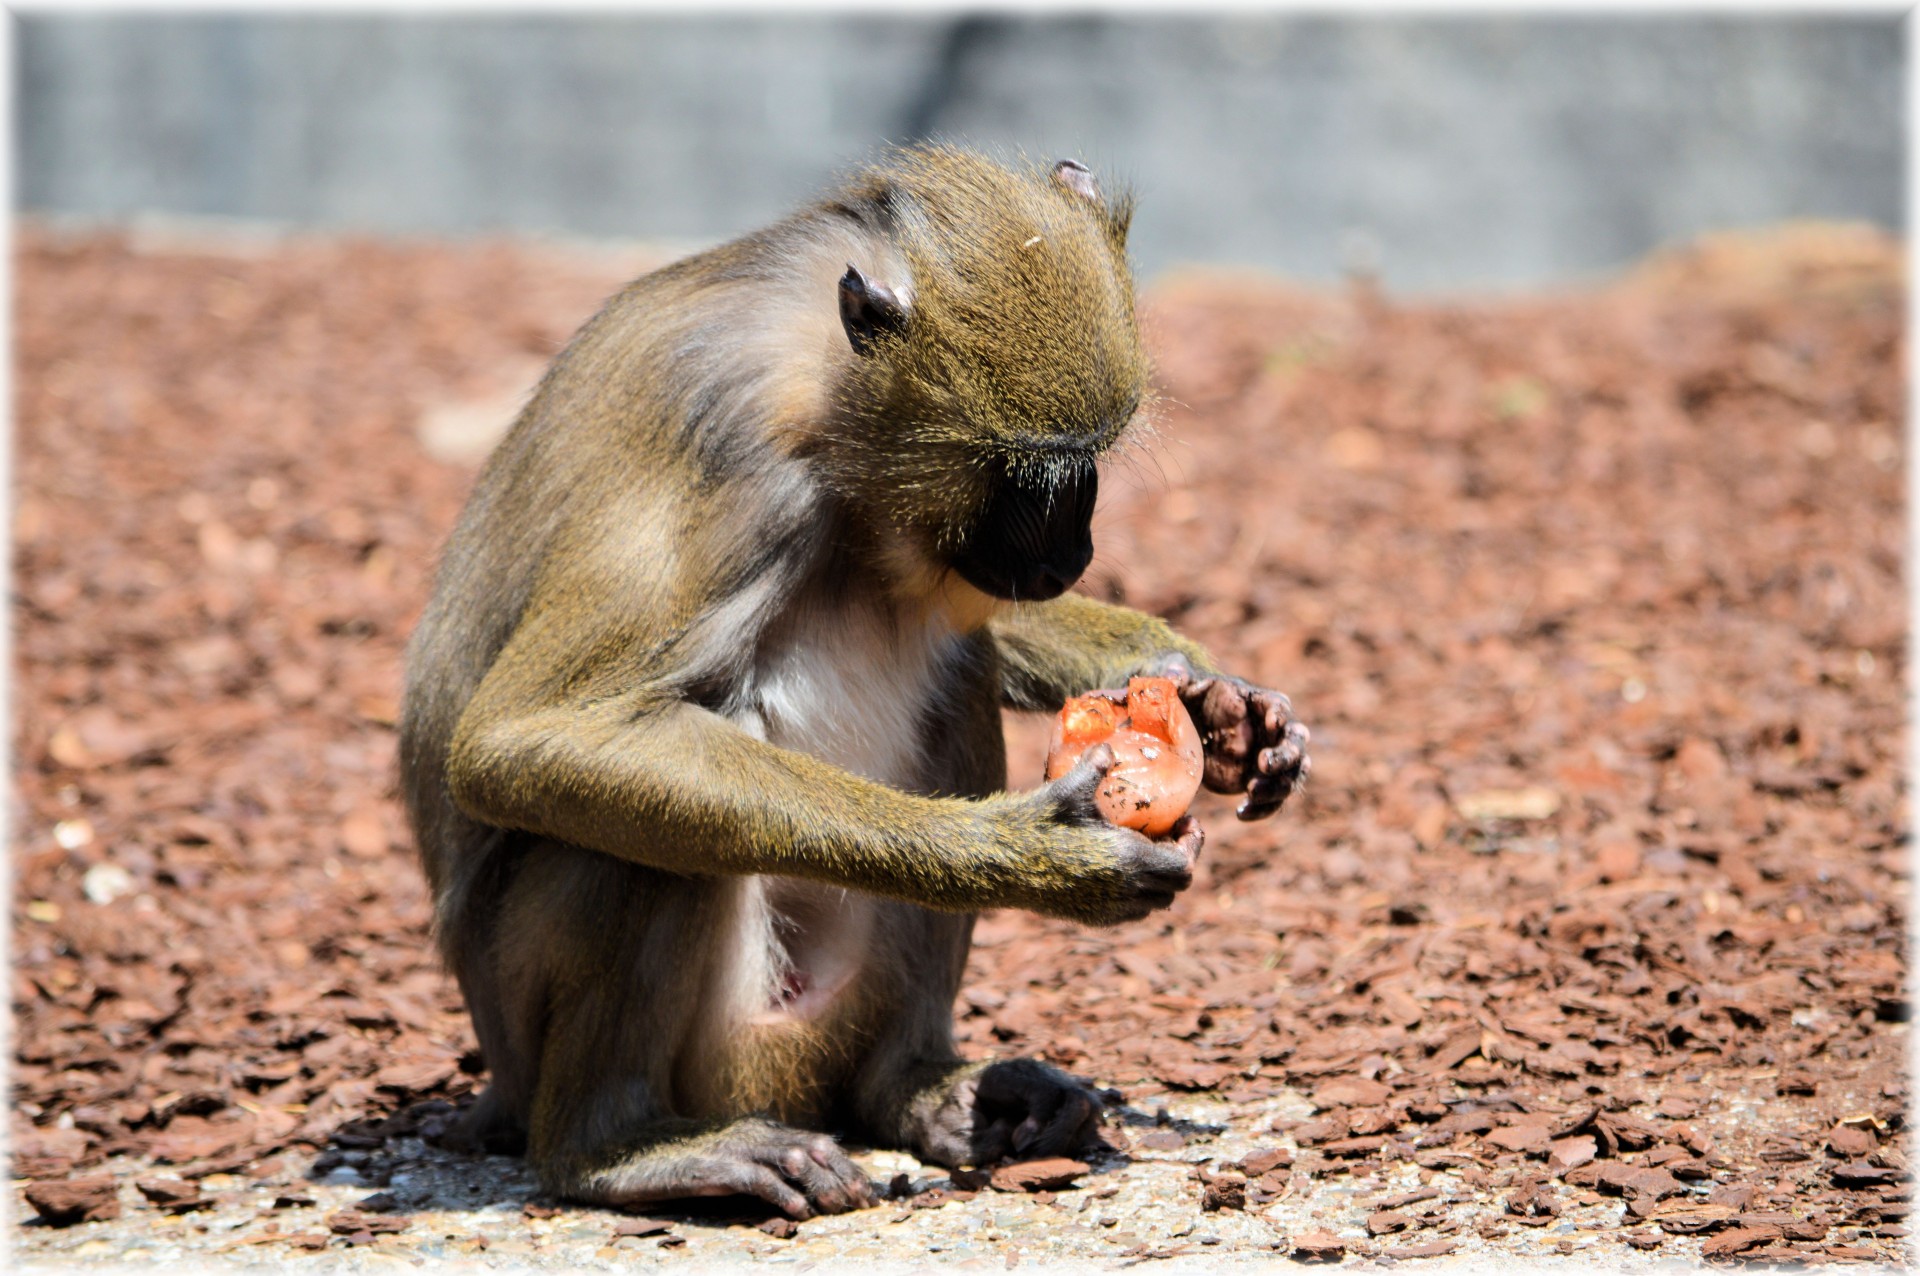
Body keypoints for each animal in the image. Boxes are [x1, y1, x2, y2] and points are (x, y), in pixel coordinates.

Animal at [397, 143, 1313, 1220]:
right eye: (1033, 478)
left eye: (1091, 465)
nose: (1072, 553)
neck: (826, 404)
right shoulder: (726, 456)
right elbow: (532, 739)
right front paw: (1031, 858)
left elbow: (982, 628)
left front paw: (1214, 703)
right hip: (684, 1041)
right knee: (625, 830)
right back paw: (612, 1147)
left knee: (953, 683)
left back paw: (908, 1088)